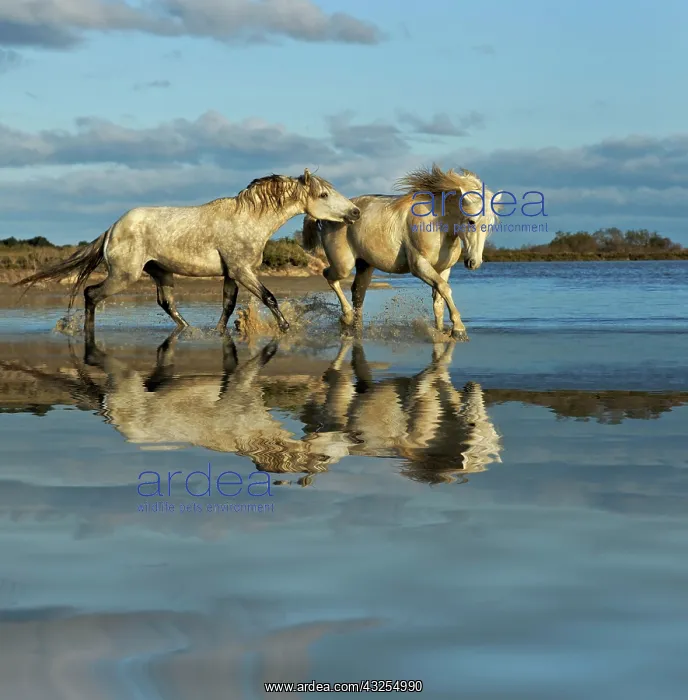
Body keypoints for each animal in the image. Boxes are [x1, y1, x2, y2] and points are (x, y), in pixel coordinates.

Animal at [13, 168, 360, 336]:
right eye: (323, 194)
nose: (355, 213)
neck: (248, 219)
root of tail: (113, 228)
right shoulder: (243, 271)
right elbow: (270, 298)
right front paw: (287, 329)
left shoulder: (231, 274)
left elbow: (228, 306)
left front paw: (219, 332)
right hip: (124, 275)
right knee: (91, 294)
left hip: (160, 272)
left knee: (166, 303)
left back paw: (190, 330)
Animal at [301, 164, 501, 340]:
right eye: (471, 221)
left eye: (489, 225)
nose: (473, 263)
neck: (438, 224)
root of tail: (325, 217)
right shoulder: (419, 265)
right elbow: (444, 289)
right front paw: (459, 329)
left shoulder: (444, 269)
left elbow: (439, 299)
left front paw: (441, 331)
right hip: (343, 264)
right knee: (329, 275)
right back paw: (346, 317)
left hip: (365, 265)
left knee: (358, 292)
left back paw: (356, 327)